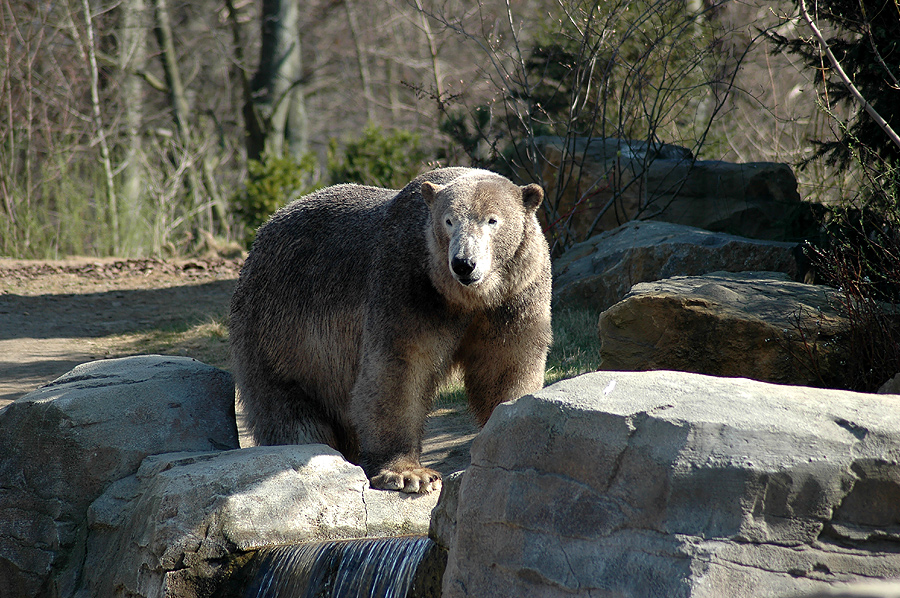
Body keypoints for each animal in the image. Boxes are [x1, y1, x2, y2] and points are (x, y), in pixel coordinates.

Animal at [227, 166, 548, 494]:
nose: (464, 264)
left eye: (492, 220)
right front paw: (409, 474)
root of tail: (263, 233)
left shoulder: (515, 297)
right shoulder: (408, 283)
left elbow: (505, 366)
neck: (465, 297)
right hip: (278, 331)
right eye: (449, 220)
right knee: (288, 408)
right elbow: (399, 371)